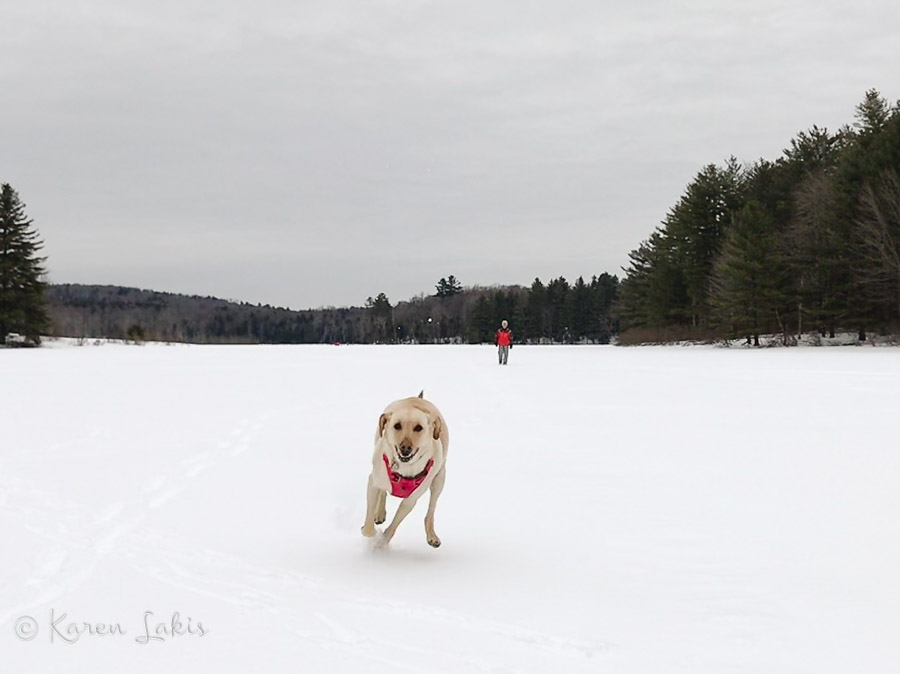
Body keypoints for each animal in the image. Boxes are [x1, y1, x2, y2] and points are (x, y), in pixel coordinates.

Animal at [360, 388, 448, 544]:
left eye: (419, 427)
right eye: (397, 425)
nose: (405, 448)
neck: (403, 468)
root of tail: (418, 398)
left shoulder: (411, 500)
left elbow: (395, 523)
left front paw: (383, 540)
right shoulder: (373, 482)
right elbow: (368, 528)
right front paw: (371, 532)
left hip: (439, 480)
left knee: (430, 511)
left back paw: (432, 535)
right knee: (383, 492)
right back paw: (379, 513)